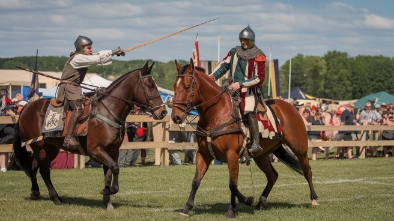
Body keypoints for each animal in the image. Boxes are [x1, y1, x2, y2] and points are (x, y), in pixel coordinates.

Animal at [13, 60, 167, 209]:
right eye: (150, 85)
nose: (163, 112)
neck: (107, 111)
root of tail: (28, 106)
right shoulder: (96, 151)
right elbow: (115, 168)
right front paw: (108, 191)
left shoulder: (112, 151)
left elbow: (109, 173)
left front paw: (107, 199)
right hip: (39, 147)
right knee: (43, 170)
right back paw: (54, 197)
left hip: (50, 148)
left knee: (34, 166)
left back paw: (36, 192)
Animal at [172, 58, 318, 218]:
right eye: (174, 86)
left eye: (187, 87)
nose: (176, 117)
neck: (217, 114)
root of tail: (291, 107)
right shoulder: (203, 154)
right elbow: (196, 181)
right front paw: (187, 208)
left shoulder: (232, 155)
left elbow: (232, 184)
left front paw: (238, 206)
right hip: (262, 155)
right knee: (272, 175)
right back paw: (262, 202)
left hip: (300, 148)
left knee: (307, 170)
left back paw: (314, 199)